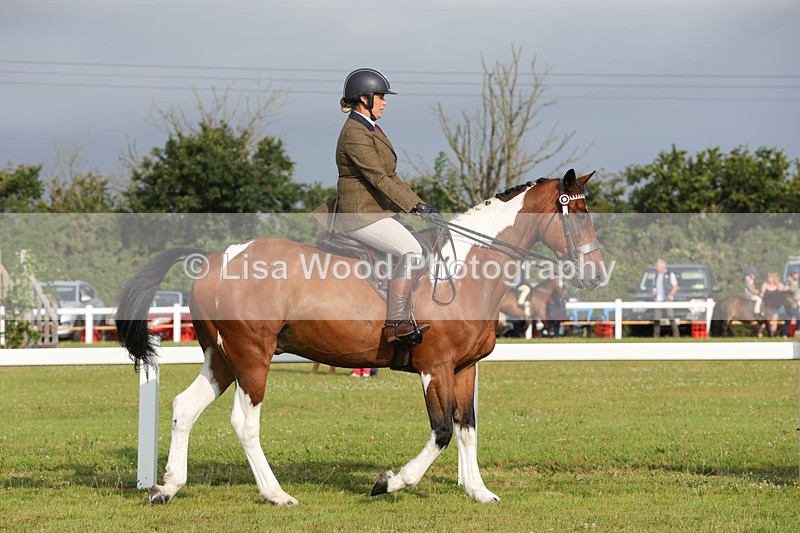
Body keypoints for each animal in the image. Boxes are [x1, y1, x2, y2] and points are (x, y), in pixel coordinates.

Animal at [115, 169, 606, 506]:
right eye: (578, 214)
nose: (597, 275)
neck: (466, 270)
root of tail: (215, 257)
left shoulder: (464, 368)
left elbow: (467, 428)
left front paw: (478, 491)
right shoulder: (435, 368)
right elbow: (442, 431)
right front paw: (389, 482)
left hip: (222, 358)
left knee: (184, 408)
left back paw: (167, 488)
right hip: (252, 357)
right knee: (245, 423)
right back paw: (276, 494)